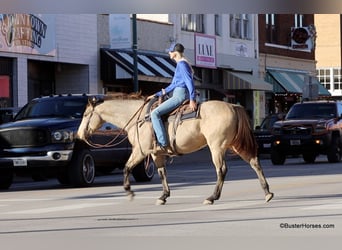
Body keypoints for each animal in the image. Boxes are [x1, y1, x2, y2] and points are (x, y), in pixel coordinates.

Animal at [76, 94, 274, 205]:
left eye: (85, 115)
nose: (78, 135)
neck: (138, 119)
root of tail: (233, 105)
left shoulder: (141, 151)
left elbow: (126, 168)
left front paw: (130, 192)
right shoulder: (156, 154)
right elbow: (162, 173)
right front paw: (163, 196)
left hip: (216, 147)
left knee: (222, 170)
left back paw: (212, 197)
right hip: (235, 145)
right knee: (255, 163)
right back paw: (267, 193)